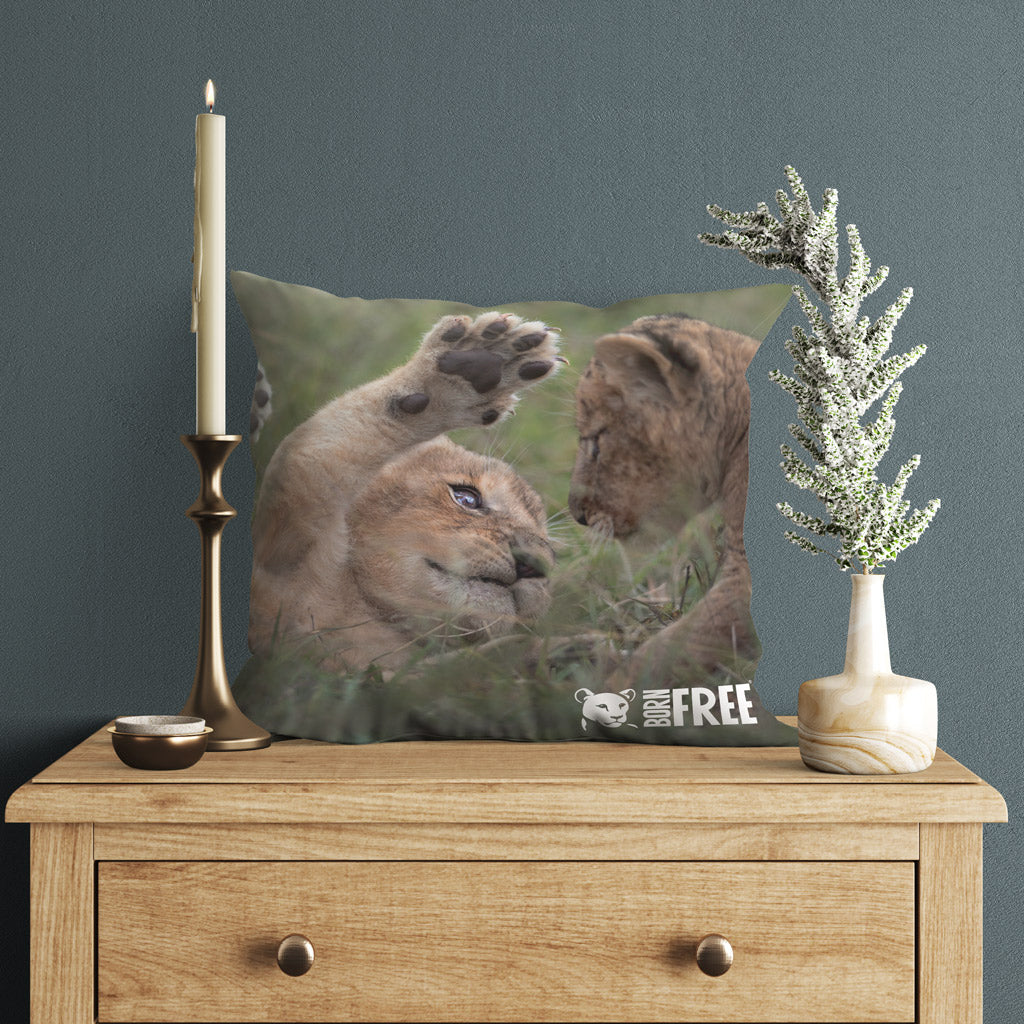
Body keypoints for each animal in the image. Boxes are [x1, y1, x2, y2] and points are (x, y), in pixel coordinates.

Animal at [249, 311, 561, 671]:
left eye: (552, 551)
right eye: (466, 498)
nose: (534, 565)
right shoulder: (281, 534)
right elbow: (325, 439)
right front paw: (479, 363)